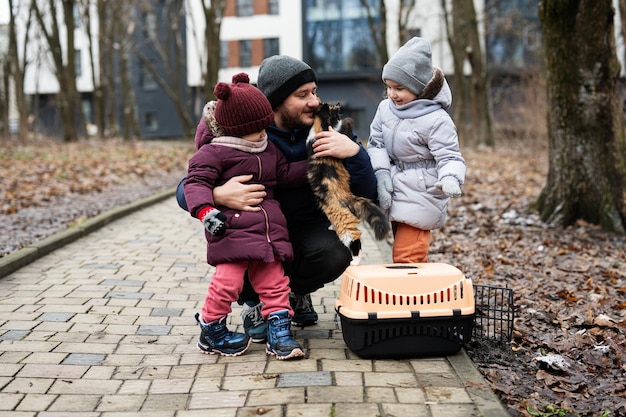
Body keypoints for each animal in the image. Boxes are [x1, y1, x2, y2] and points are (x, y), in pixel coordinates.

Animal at [304, 101, 388, 260]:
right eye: (336, 112)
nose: (339, 111)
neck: (324, 124)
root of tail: (347, 197)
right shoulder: (337, 131)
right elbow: (346, 126)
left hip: (344, 224)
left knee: (355, 238)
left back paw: (354, 260)